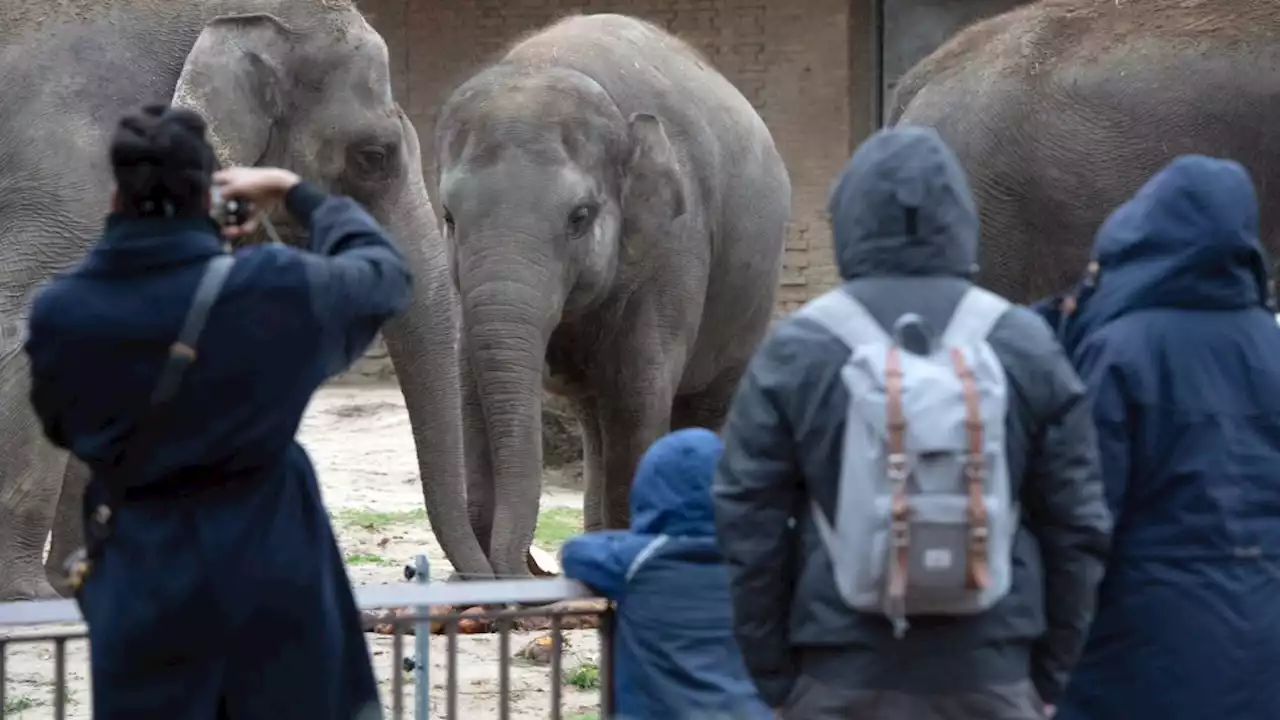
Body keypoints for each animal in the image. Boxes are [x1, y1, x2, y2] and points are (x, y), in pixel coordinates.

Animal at [435, 12, 788, 576]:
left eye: (579, 217)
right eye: (448, 217)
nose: (532, 567)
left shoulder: (675, 246)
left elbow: (637, 394)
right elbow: (470, 384)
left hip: (751, 295)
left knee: (702, 407)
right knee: (593, 418)